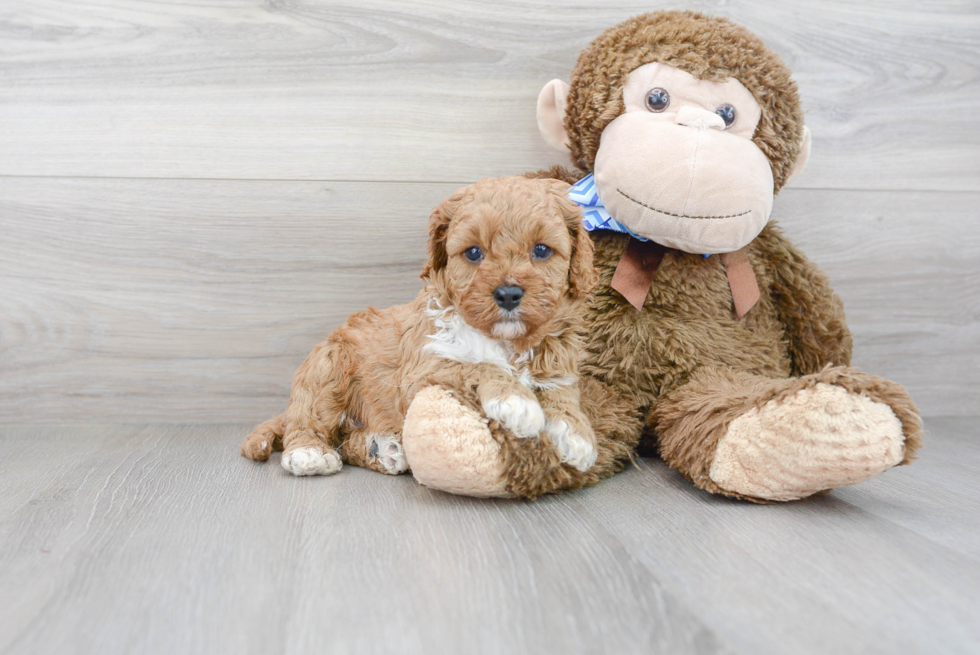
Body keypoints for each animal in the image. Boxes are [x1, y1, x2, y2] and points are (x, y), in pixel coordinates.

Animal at [241, 177, 600, 480]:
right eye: (473, 252)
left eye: (541, 250)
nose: (508, 294)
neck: (504, 341)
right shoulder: (423, 371)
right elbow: (475, 365)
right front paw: (517, 400)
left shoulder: (557, 362)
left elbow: (562, 391)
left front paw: (576, 433)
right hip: (327, 368)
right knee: (310, 419)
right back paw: (310, 453)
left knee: (345, 437)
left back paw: (383, 449)